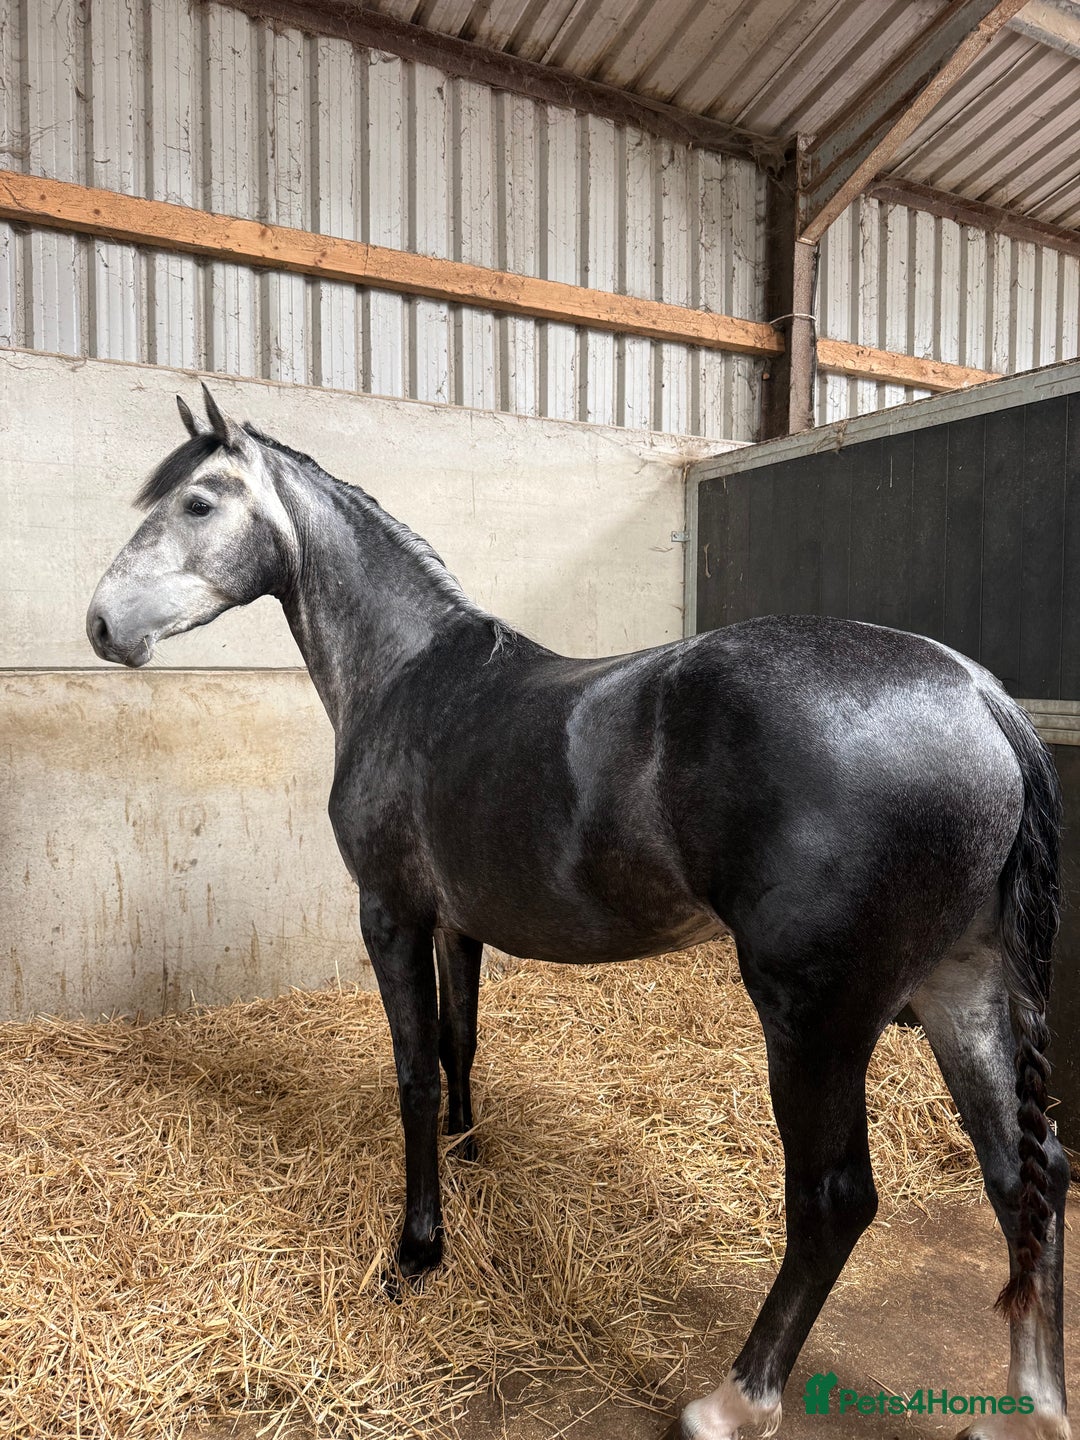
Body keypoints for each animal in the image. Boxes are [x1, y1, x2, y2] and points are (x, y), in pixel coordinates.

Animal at [86, 386, 1071, 1440]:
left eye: (197, 502)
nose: (102, 624)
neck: (408, 680)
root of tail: (977, 696)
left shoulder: (390, 915)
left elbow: (412, 1075)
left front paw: (418, 1250)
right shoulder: (458, 924)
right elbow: (459, 1042)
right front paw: (469, 1152)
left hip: (816, 1023)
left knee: (834, 1201)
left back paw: (733, 1400)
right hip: (961, 989)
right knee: (1027, 1171)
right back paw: (1029, 1408)